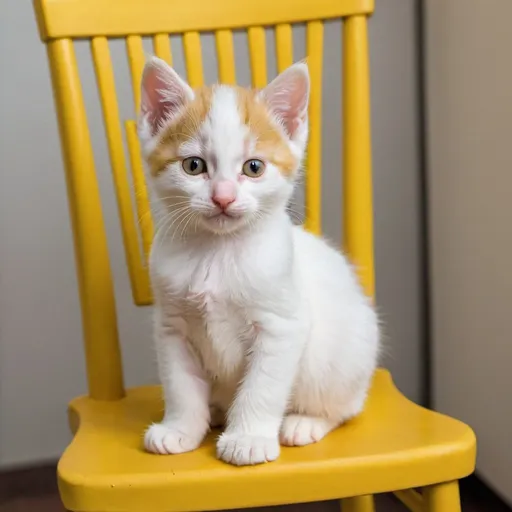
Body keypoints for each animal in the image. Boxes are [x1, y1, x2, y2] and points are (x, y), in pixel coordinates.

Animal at [138, 58, 378, 466]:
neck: (217, 253)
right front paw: (180, 429)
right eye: (193, 166)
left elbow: (262, 387)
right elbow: (180, 384)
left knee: (347, 407)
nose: (223, 197)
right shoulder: (171, 327)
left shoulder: (281, 326)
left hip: (345, 357)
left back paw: (305, 422)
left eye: (253, 168)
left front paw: (248, 438)